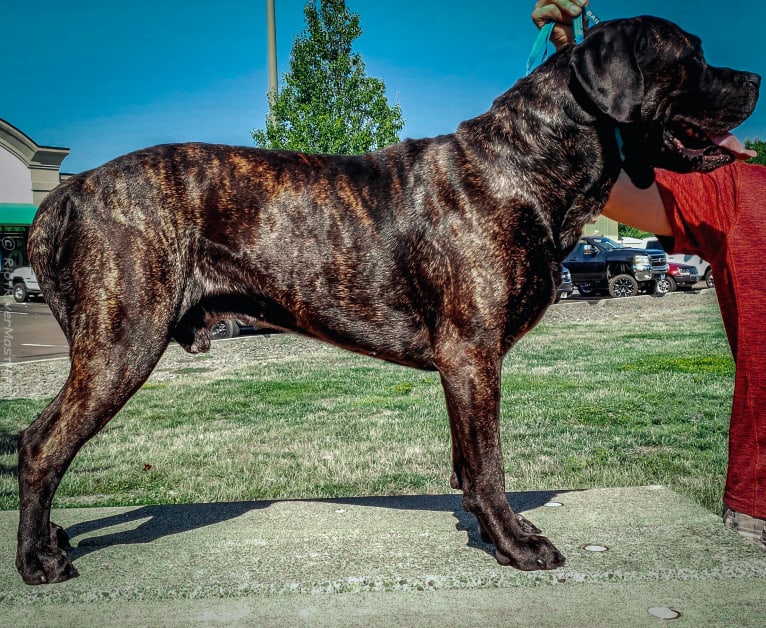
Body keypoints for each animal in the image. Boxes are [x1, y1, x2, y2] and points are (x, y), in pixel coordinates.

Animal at [18, 15, 760, 584]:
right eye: (691, 58)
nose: (753, 79)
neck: (526, 164)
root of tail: (71, 188)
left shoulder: (464, 366)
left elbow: (467, 463)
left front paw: (491, 534)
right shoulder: (472, 354)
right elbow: (488, 463)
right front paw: (516, 544)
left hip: (108, 347)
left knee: (36, 436)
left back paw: (50, 541)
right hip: (122, 342)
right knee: (42, 447)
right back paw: (35, 563)